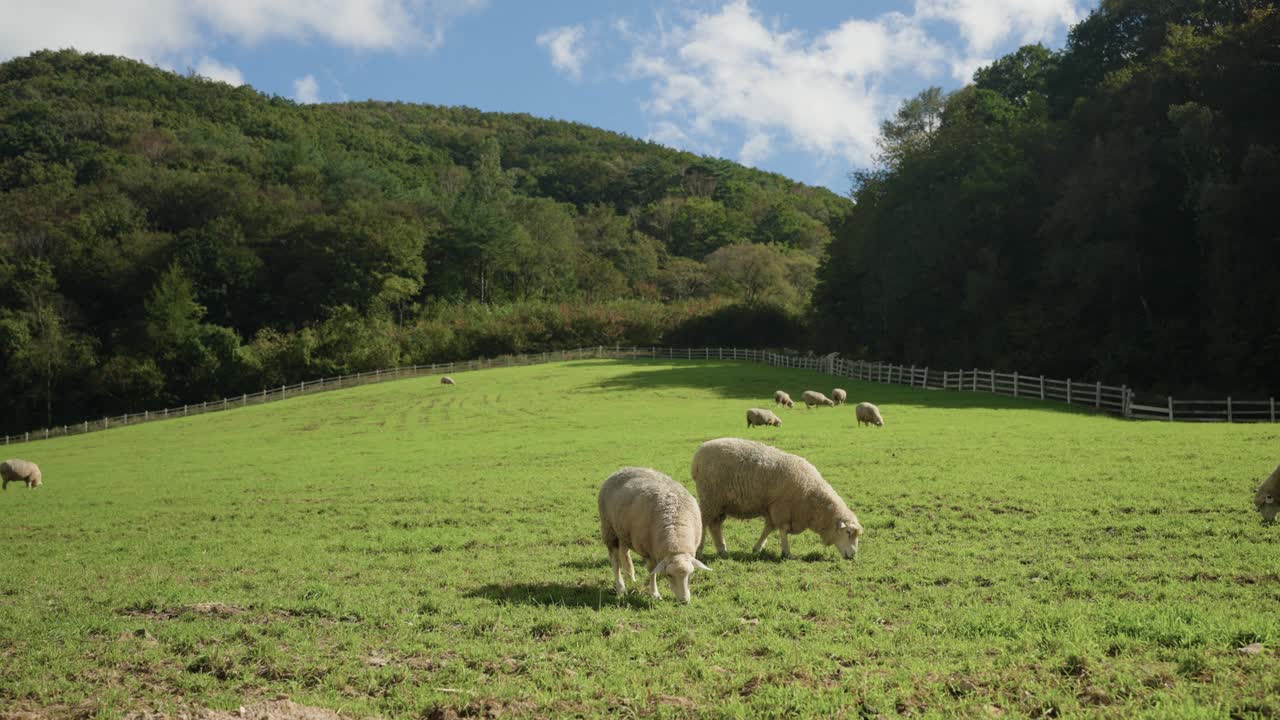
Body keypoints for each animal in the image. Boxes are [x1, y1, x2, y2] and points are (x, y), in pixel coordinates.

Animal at [598, 467, 711, 603]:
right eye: (669, 575)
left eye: (691, 574)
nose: (684, 601)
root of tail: (620, 470)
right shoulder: (649, 552)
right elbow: (652, 572)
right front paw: (655, 594)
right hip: (609, 529)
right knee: (615, 560)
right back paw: (621, 588)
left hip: (623, 531)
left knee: (624, 554)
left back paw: (631, 579)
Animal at [691, 438, 862, 561]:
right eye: (848, 532)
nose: (853, 556)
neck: (811, 497)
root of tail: (697, 456)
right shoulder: (782, 508)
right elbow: (782, 530)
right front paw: (787, 553)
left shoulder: (773, 508)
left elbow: (768, 528)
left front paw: (757, 548)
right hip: (710, 497)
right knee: (704, 522)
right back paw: (699, 551)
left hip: (720, 502)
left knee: (715, 525)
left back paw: (722, 550)